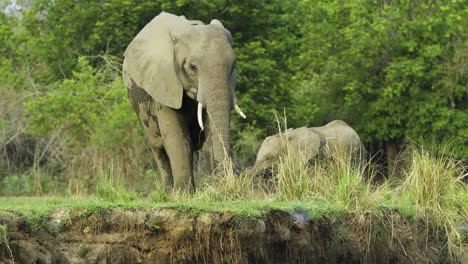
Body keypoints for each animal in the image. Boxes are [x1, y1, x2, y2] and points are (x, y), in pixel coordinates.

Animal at [122, 11, 247, 192]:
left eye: (234, 67)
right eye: (193, 67)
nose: (235, 173)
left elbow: (210, 131)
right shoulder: (163, 81)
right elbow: (176, 138)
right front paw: (184, 194)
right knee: (158, 149)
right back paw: (168, 192)